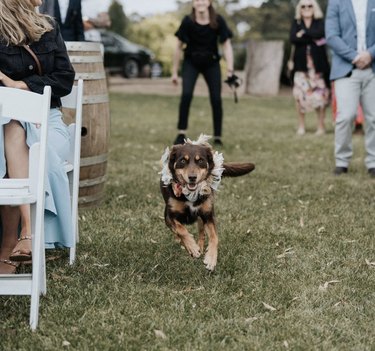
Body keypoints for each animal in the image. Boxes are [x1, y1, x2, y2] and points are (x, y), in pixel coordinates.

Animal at [159, 135, 256, 272]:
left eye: (200, 161)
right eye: (182, 161)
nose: (192, 177)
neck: (189, 194)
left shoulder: (208, 215)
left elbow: (215, 237)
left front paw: (210, 259)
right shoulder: (169, 217)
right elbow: (181, 230)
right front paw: (192, 247)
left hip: (201, 218)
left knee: (201, 233)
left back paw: (199, 247)